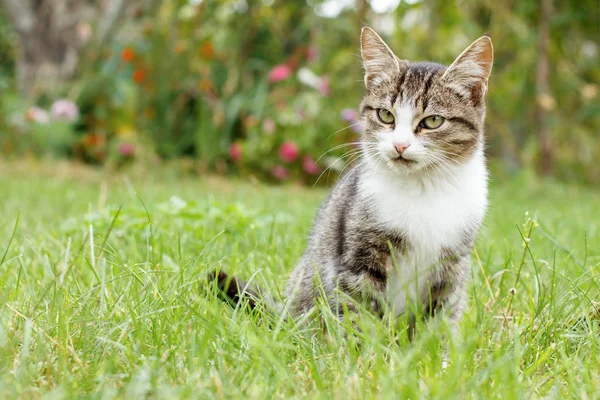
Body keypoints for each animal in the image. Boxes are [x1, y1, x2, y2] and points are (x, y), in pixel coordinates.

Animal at [213, 25, 494, 332]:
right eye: (385, 115)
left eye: (432, 121)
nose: (400, 145)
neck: (422, 188)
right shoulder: (359, 255)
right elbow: (359, 311)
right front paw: (366, 345)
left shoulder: (452, 263)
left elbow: (439, 317)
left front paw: (434, 346)